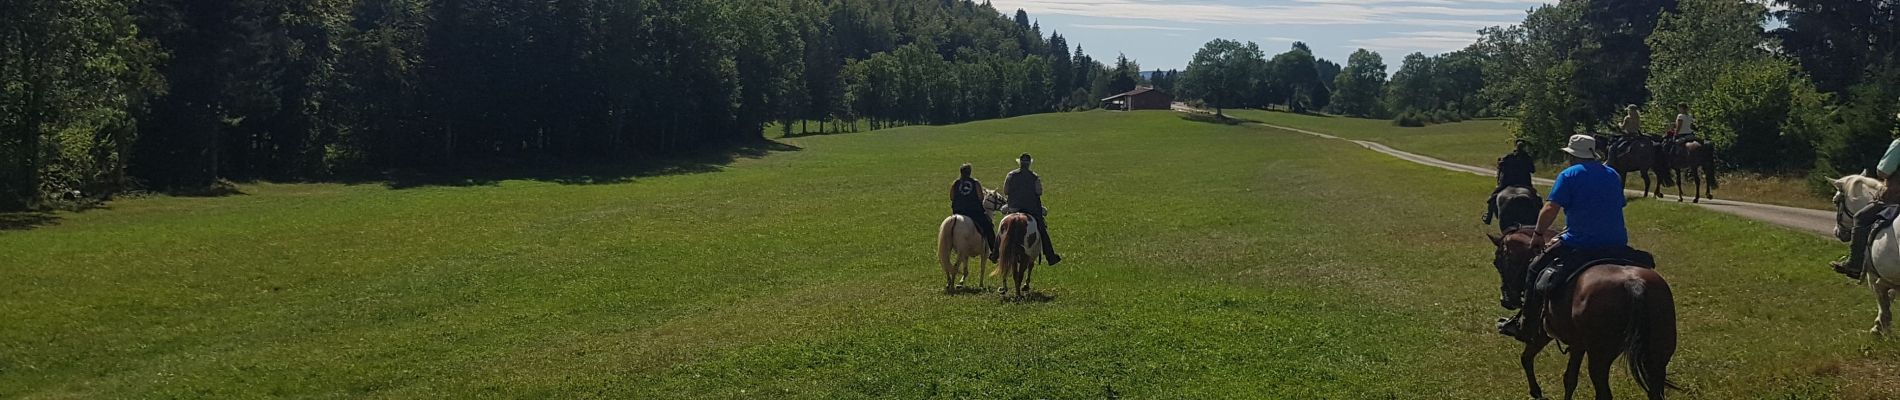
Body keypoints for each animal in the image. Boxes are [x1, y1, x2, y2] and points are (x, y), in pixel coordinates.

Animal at [1482, 228, 1679, 400]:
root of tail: (1634, 284)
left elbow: (1540, 364)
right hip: (1657, 356)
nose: (1505, 301)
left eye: (1497, 262)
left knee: (1603, 393)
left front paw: (1536, 392)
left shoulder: (1547, 333)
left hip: (1600, 356)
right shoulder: (1573, 343)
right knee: (1655, 391)